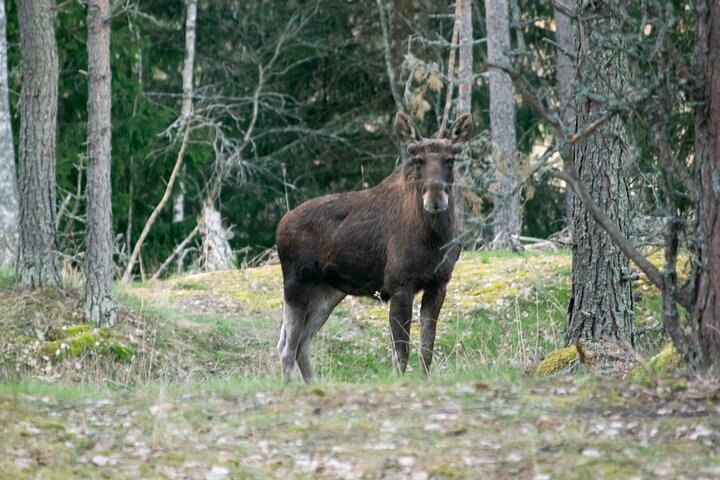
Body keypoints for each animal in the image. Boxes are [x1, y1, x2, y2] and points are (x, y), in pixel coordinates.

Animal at [275, 112, 473, 382]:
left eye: (450, 160)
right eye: (418, 160)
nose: (435, 198)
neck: (436, 239)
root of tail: (279, 227)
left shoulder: (438, 284)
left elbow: (426, 349)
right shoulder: (400, 285)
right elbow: (401, 353)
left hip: (328, 292)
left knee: (301, 344)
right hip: (297, 285)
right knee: (287, 347)